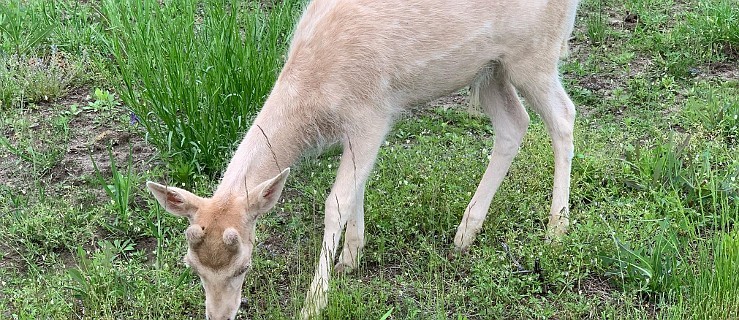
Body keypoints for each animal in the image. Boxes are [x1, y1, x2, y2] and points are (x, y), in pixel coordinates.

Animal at [146, 1, 584, 318]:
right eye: (192, 267)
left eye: (244, 266)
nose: (219, 316)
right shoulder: (355, 129)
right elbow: (356, 187)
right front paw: (351, 259)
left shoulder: (373, 114)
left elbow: (336, 201)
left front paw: (315, 302)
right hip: (490, 67)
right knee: (514, 123)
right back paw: (465, 233)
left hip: (535, 52)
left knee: (563, 116)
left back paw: (557, 229)